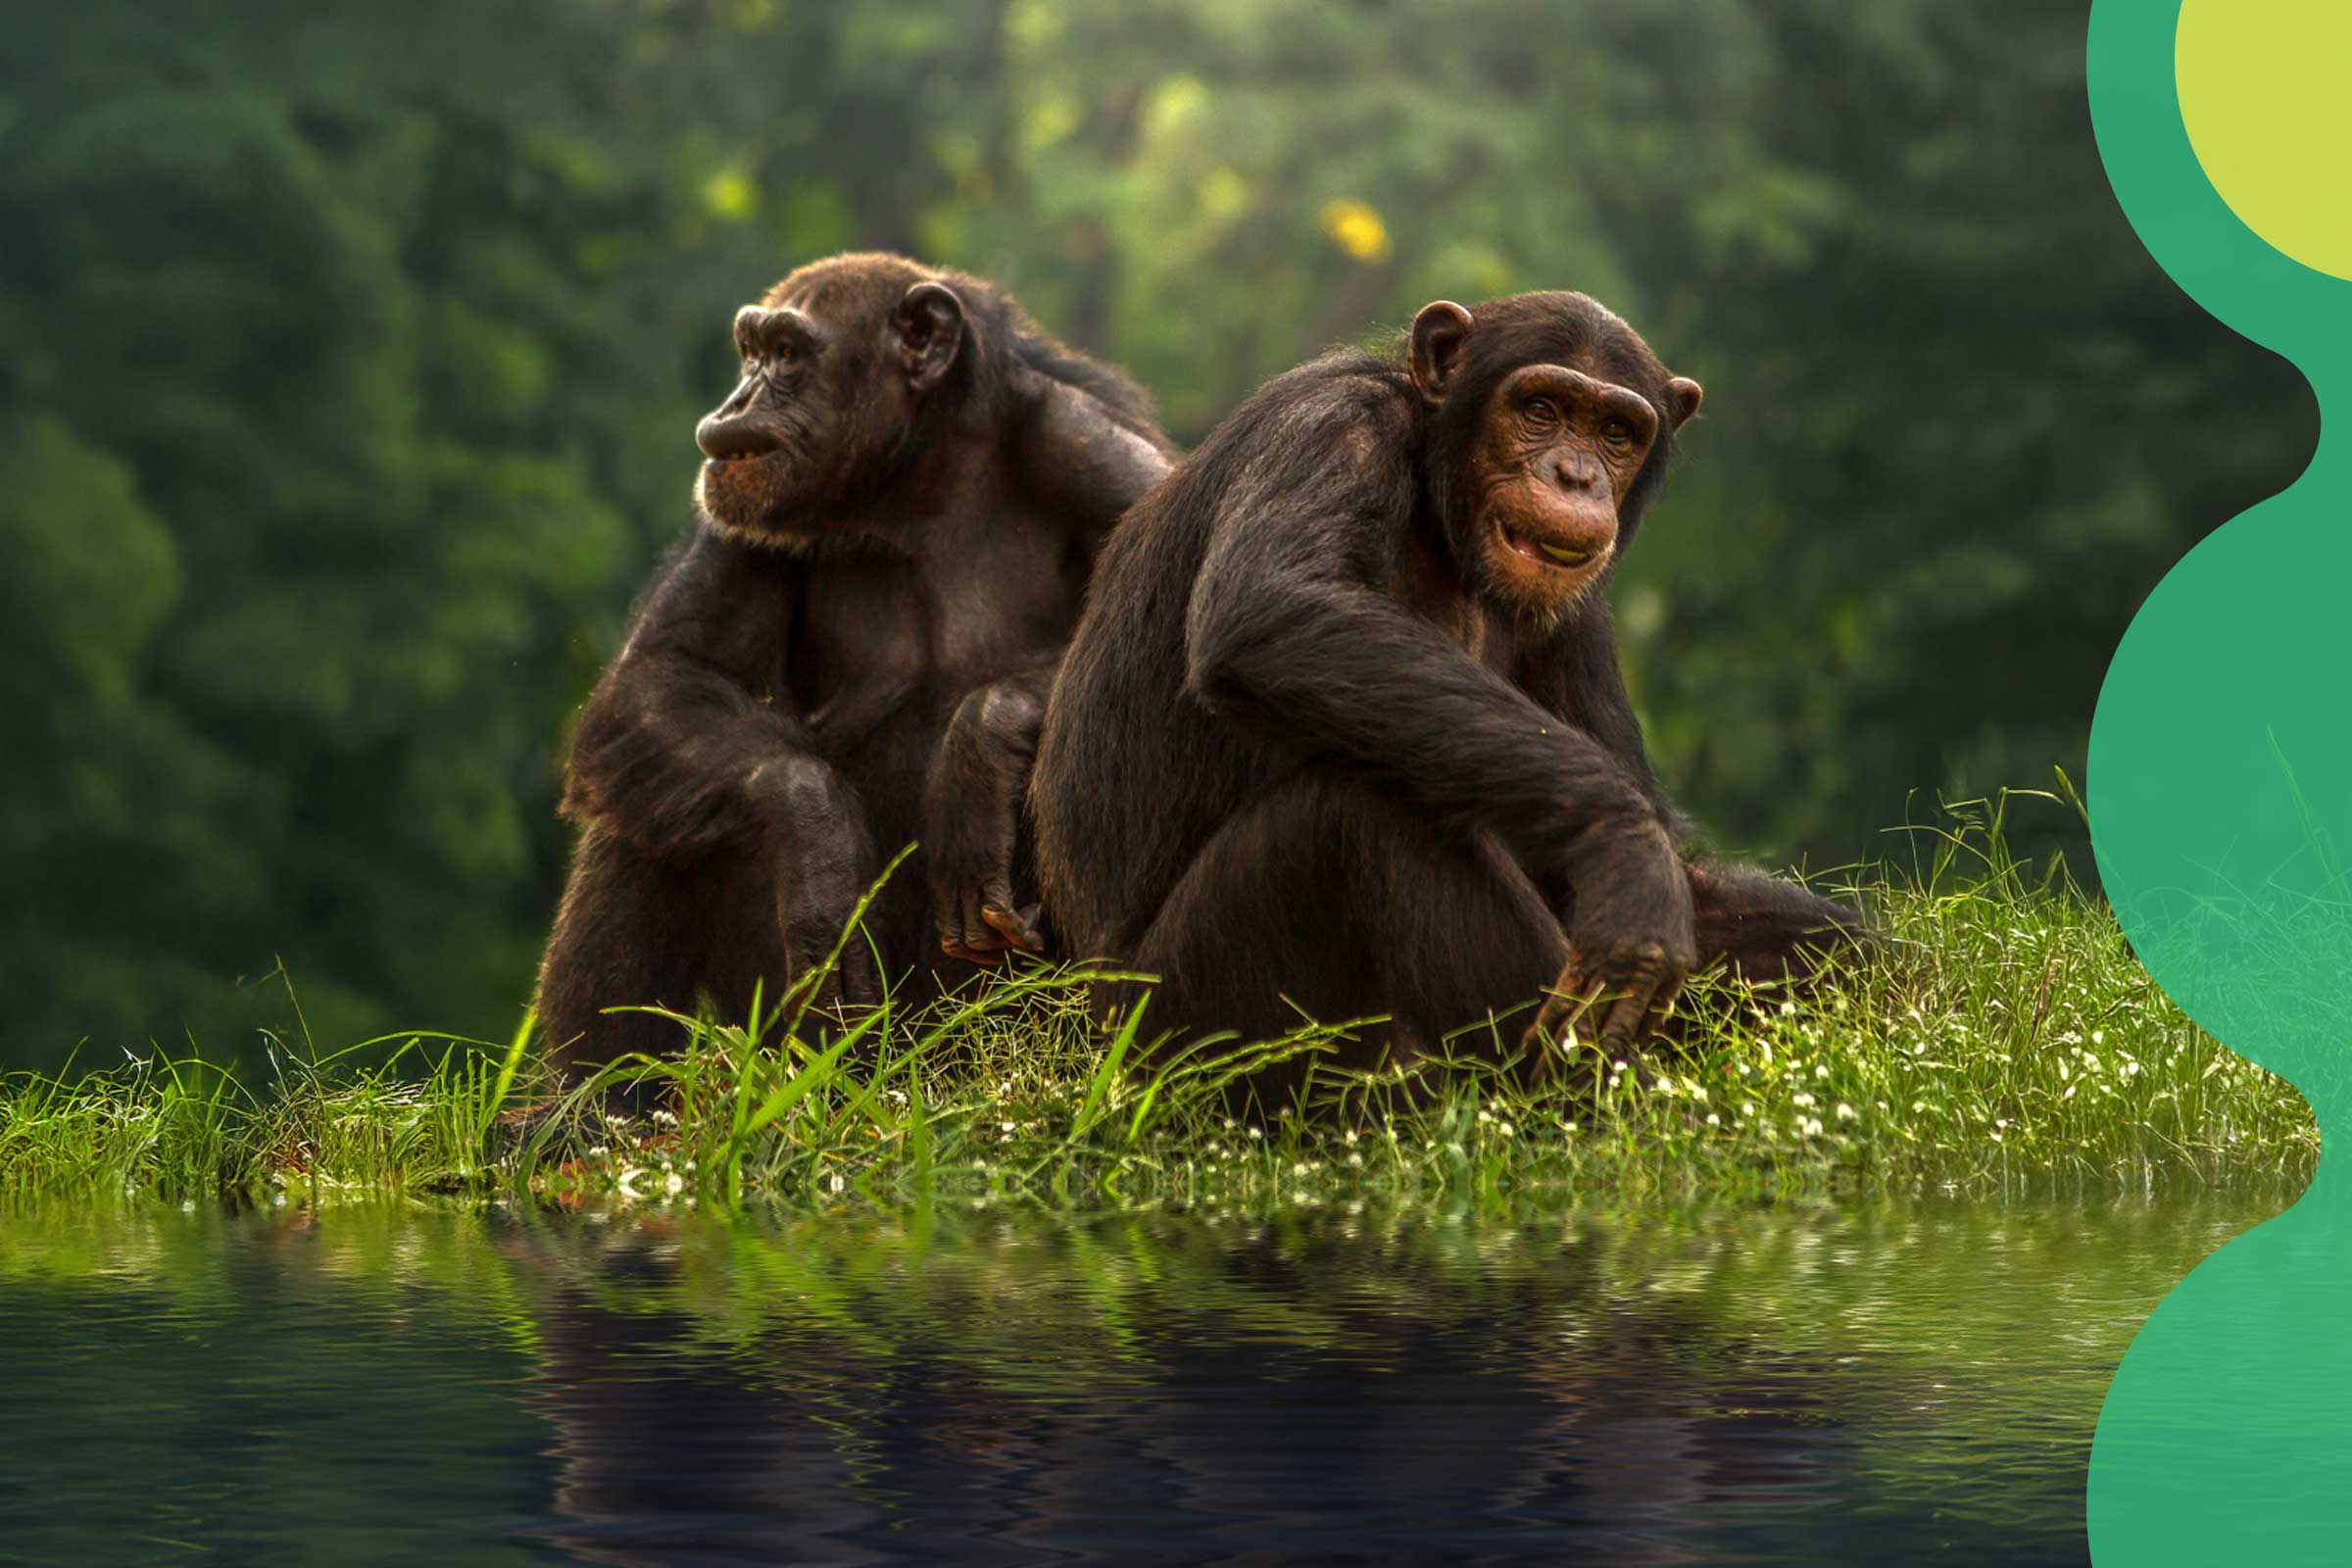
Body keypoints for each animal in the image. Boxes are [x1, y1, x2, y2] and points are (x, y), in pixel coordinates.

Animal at [543, 255, 1185, 1081]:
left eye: (788, 354)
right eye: (750, 351)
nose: (738, 400)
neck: (917, 477)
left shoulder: (1094, 448)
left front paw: (980, 747)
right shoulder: (736, 501)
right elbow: (662, 673)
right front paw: (819, 837)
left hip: (991, 1034)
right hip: (792, 1034)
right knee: (649, 798)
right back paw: (588, 1096)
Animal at [1025, 287, 1853, 1086]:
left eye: (1617, 432)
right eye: (1541, 410)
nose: (1576, 476)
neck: (1439, 507)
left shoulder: (1578, 615)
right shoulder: (1334, 428)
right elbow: (1273, 610)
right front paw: (1628, 849)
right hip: (1188, 1037)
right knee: (1365, 813)